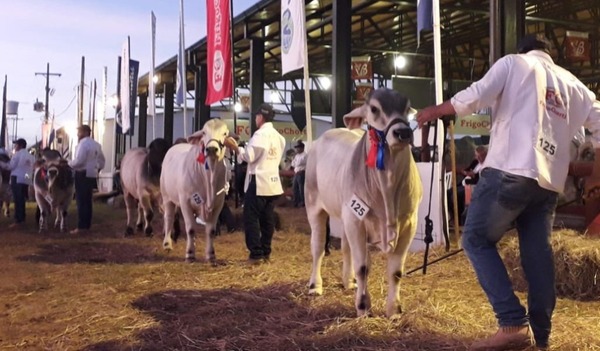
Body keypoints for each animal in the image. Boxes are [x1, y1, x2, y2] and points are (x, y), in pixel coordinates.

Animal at [159, 119, 230, 262]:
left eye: (225, 133)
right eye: (204, 132)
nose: (211, 149)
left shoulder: (218, 204)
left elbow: (211, 231)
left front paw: (211, 254)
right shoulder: (185, 202)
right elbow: (191, 229)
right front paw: (190, 253)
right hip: (167, 197)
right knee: (169, 217)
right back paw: (167, 244)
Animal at [304, 88, 422, 320]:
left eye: (406, 108)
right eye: (374, 109)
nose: (403, 133)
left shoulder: (409, 224)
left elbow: (396, 272)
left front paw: (394, 310)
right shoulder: (356, 221)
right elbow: (363, 268)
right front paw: (363, 306)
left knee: (345, 247)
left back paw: (348, 282)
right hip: (314, 207)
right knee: (318, 247)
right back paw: (315, 285)